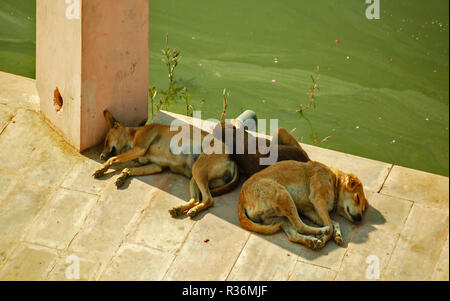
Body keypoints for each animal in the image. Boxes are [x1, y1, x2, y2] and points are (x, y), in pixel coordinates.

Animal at [237, 159, 368, 248]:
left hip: (279, 217)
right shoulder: (318, 199)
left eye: (363, 209)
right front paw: (326, 237)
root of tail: (242, 199)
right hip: (283, 195)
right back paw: (321, 231)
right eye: (357, 198)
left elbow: (334, 222)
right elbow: (330, 225)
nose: (360, 218)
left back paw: (310, 240)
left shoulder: (309, 210)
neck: (335, 181)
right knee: (299, 226)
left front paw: (337, 234)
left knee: (293, 234)